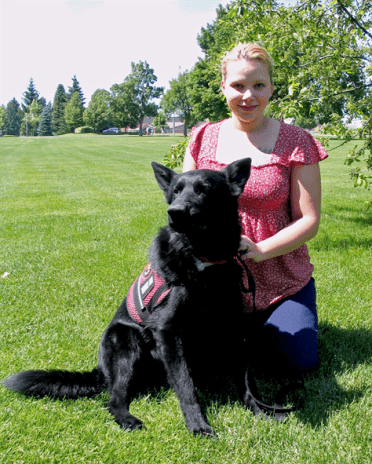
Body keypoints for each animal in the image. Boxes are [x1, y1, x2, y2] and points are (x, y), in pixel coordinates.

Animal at [3, 159, 258, 436]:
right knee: (114, 399)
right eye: (176, 191)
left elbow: (244, 378)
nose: (174, 212)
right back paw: (127, 418)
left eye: (205, 189)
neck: (203, 259)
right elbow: (185, 386)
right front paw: (198, 425)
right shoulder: (168, 332)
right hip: (126, 343)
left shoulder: (231, 326)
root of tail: (101, 371)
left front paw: (258, 409)